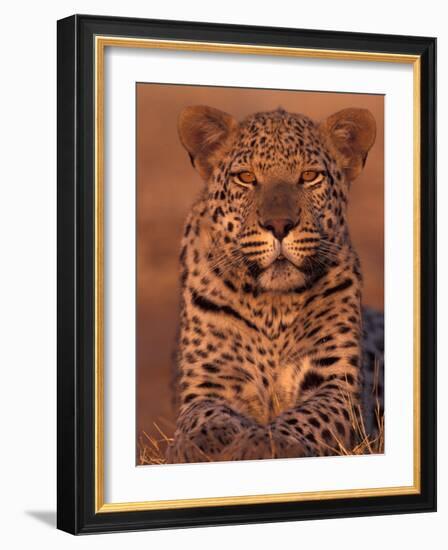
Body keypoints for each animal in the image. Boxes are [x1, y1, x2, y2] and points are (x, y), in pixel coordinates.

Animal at [166, 104, 384, 466]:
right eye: (246, 177)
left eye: (309, 176)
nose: (279, 225)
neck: (271, 306)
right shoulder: (210, 381)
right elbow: (204, 413)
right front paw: (199, 442)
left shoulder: (335, 385)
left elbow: (307, 416)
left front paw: (266, 441)